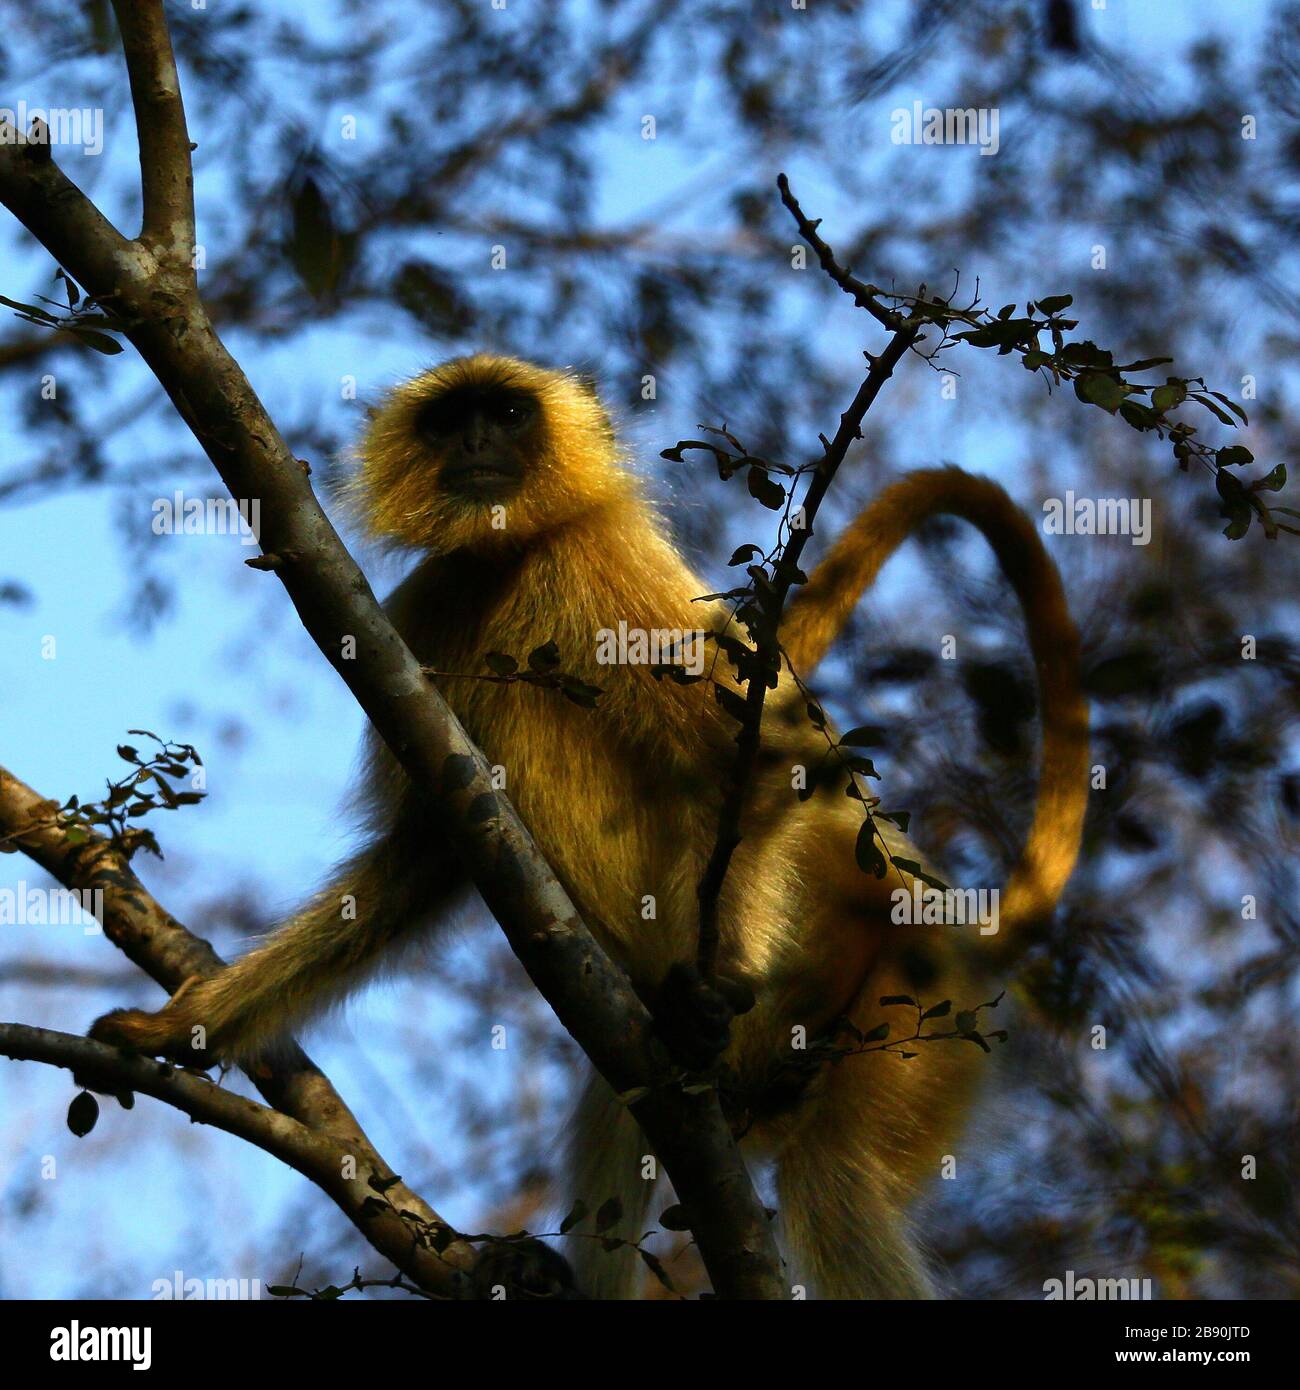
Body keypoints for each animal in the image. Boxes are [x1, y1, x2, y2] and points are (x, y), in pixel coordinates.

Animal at [86, 355, 1095, 1301]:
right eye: (451, 420)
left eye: (507, 412)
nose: (476, 442)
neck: (512, 560)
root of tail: (959, 936)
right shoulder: (421, 618)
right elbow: (424, 856)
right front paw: (180, 1029)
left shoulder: (606, 564)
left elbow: (774, 763)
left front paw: (716, 987)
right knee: (633, 1094)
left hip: (910, 1011)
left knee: (832, 1173)